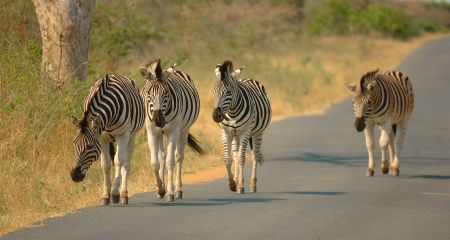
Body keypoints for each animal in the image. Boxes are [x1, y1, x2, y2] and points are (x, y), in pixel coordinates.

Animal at [68, 74, 144, 204]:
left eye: (89, 146)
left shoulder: (123, 134)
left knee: (126, 164)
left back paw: (124, 194)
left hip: (131, 136)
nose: (74, 176)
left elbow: (119, 161)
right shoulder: (102, 137)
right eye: (74, 144)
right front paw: (105, 195)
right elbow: (105, 164)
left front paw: (115, 193)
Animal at [140, 59, 205, 202]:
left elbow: (171, 162)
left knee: (178, 157)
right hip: (160, 133)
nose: (158, 120)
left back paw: (178, 190)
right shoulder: (152, 132)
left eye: (166, 93)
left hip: (183, 130)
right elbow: (155, 162)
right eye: (148, 93)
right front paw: (160, 189)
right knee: (162, 156)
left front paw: (170, 192)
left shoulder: (173, 131)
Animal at [214, 59, 272, 193]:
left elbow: (242, 158)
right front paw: (232, 183)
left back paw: (252, 184)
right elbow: (228, 158)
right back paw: (237, 179)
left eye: (228, 92)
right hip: (235, 135)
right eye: (214, 91)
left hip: (257, 133)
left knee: (255, 155)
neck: (232, 113)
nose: (215, 116)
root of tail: (247, 78)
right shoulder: (226, 132)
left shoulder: (245, 131)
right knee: (235, 155)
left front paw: (240, 185)